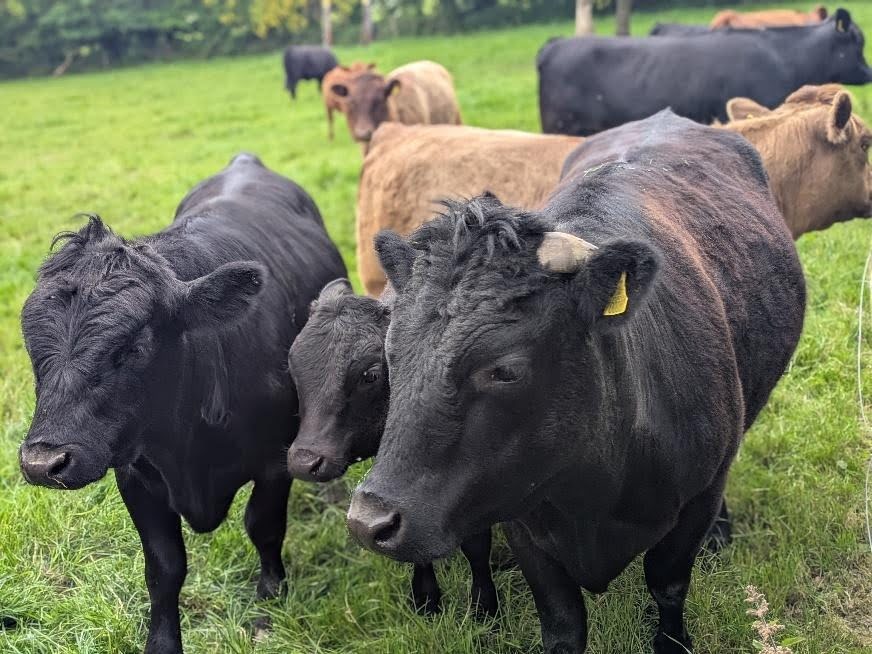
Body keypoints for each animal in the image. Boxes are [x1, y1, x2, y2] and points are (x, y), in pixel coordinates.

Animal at [17, 153, 347, 654]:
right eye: (32, 347)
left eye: (133, 347)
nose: (42, 462)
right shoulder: (134, 473)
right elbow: (164, 566)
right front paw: (162, 642)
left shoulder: (275, 461)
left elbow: (263, 525)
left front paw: (271, 596)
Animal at [285, 279, 497, 617]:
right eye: (293, 368)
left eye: (370, 374)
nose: (304, 462)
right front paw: (426, 599)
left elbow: (477, 545)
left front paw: (483, 607)